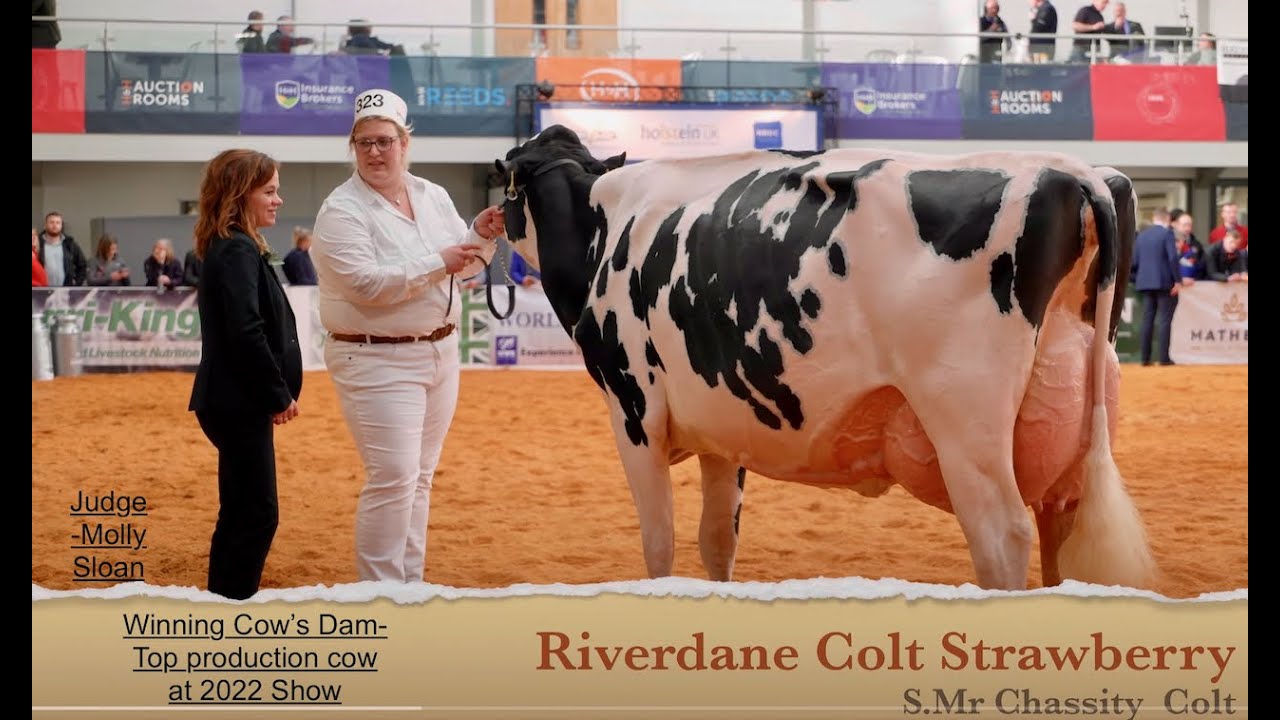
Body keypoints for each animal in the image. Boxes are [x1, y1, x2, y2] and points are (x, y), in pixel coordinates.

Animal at [494, 125, 1156, 591]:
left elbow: (659, 545)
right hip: (1071, 427)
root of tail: (1071, 172)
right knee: (1058, 528)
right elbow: (717, 541)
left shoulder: (634, 414)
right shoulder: (721, 431)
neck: (602, 225)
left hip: (965, 421)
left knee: (1002, 534)